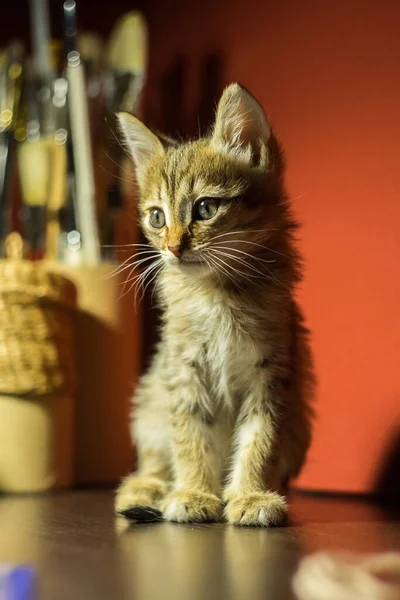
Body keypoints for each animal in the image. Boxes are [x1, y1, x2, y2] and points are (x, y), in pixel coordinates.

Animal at [114, 83, 314, 524]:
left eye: (205, 208)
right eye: (157, 217)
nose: (172, 248)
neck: (217, 293)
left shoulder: (272, 373)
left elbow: (260, 438)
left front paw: (251, 495)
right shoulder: (183, 368)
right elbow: (190, 434)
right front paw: (194, 491)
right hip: (148, 399)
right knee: (152, 458)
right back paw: (144, 488)